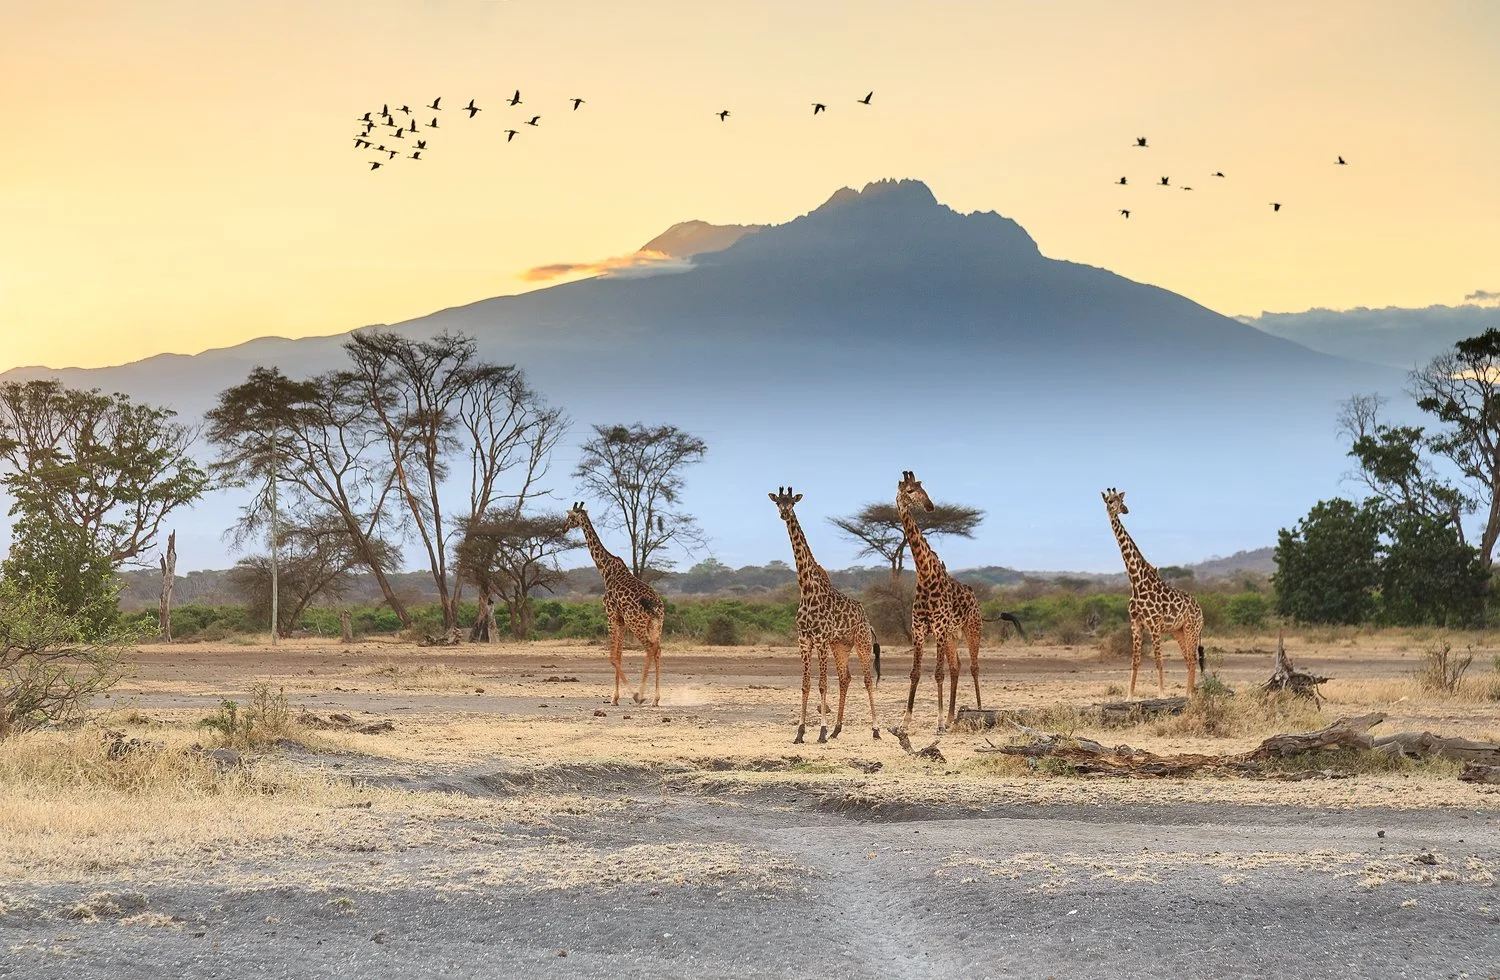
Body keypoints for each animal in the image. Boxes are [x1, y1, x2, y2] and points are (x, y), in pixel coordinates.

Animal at [564, 502, 666, 706]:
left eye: (570, 517)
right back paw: (655, 699)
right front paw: (616, 697)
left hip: (637, 623)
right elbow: (619, 655)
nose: (562, 528)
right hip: (656, 625)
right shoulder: (621, 620)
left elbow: (612, 657)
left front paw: (616, 697)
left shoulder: (611, 615)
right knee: (657, 650)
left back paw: (641, 695)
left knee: (649, 648)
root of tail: (655, 605)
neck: (605, 569)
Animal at [768, 487, 881, 744]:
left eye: (792, 502)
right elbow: (805, 685)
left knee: (867, 680)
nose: (784, 513)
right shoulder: (804, 640)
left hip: (861, 642)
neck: (807, 589)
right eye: (778, 502)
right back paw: (836, 729)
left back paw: (875, 729)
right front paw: (800, 732)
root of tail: (867, 621)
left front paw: (820, 731)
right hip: (840, 646)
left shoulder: (820, 639)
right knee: (845, 678)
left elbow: (821, 684)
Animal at [895, 470, 990, 735]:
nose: (930, 506)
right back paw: (950, 718)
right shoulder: (918, 630)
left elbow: (938, 673)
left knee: (974, 667)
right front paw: (904, 723)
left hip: (972, 629)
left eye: (923, 488)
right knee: (956, 666)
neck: (925, 576)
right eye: (909, 491)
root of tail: (973, 594)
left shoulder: (937, 629)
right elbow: (915, 673)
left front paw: (937, 723)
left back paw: (978, 711)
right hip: (952, 635)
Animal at [1100, 488, 1204, 697]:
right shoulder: (1136, 623)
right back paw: (1187, 693)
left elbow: (1158, 659)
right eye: (1109, 501)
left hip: (1192, 628)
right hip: (1178, 630)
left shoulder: (1154, 624)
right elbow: (1135, 661)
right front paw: (1129, 696)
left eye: (1120, 500)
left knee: (1193, 659)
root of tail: (1201, 610)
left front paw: (1162, 694)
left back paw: (1189, 695)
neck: (1136, 581)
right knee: (1188, 659)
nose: (1123, 510)